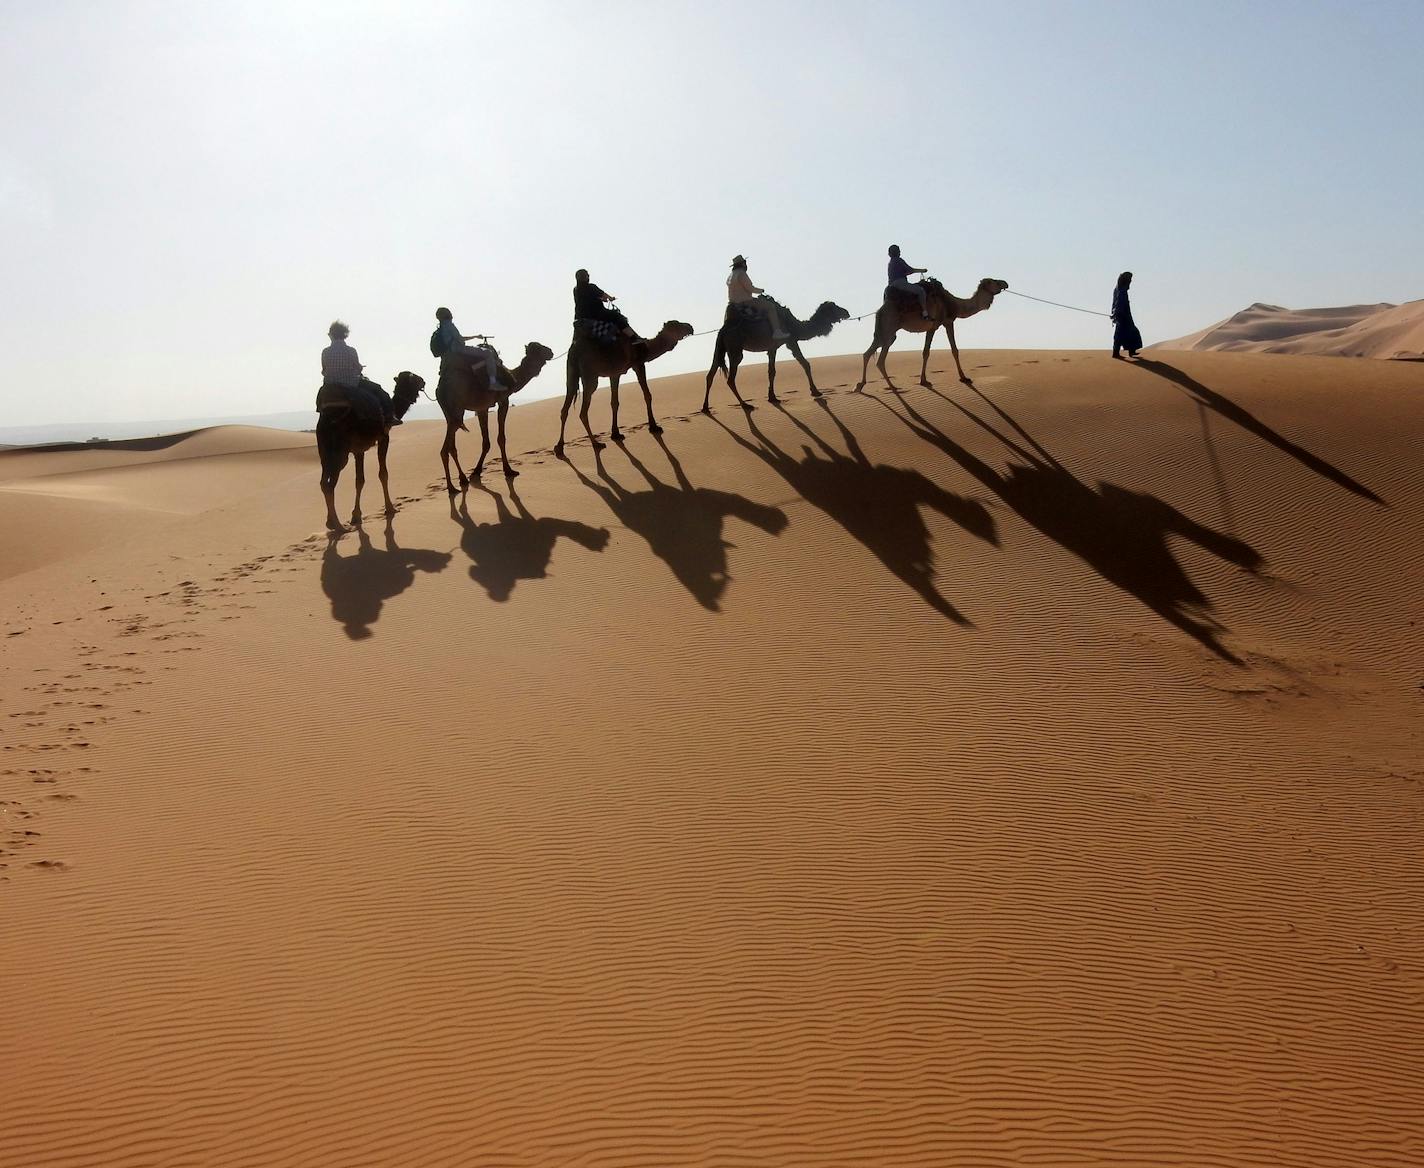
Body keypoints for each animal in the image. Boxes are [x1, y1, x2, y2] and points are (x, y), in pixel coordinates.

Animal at [314, 373, 418, 532]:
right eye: (414, 379)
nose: (423, 381)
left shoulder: (358, 450)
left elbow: (360, 480)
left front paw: (356, 516)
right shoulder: (384, 437)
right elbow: (383, 474)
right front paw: (390, 508)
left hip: (324, 452)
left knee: (323, 482)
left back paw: (330, 522)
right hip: (340, 453)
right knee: (329, 485)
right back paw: (338, 525)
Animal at [438, 344, 555, 495]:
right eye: (540, 348)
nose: (551, 351)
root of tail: (441, 387)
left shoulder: (482, 407)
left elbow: (486, 442)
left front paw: (476, 472)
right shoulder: (504, 400)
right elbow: (501, 438)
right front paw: (509, 470)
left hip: (451, 415)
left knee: (451, 446)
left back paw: (462, 479)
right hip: (457, 409)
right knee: (444, 449)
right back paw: (452, 488)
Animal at [552, 319, 692, 455]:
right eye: (677, 325)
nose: (690, 327)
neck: (645, 348)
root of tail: (574, 350)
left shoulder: (615, 373)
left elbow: (615, 402)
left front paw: (616, 434)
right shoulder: (638, 364)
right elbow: (647, 395)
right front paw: (654, 426)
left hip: (571, 374)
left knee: (565, 407)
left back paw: (559, 447)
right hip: (590, 375)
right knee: (583, 412)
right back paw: (596, 443)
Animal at [700, 299, 843, 413]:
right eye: (834, 307)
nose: (846, 312)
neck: (793, 324)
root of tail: (723, 329)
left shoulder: (772, 348)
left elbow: (771, 371)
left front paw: (772, 397)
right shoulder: (790, 340)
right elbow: (805, 363)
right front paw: (815, 391)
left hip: (719, 348)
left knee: (710, 374)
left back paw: (705, 408)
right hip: (735, 349)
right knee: (730, 379)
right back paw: (745, 405)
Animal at [854, 276, 1013, 390]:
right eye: (992, 281)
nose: (1005, 283)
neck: (953, 303)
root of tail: (879, 311)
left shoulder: (939, 325)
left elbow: (933, 351)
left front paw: (924, 380)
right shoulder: (942, 323)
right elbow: (946, 351)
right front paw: (963, 378)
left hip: (885, 332)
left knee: (870, 354)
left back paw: (863, 385)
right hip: (888, 329)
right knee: (877, 357)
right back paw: (890, 386)